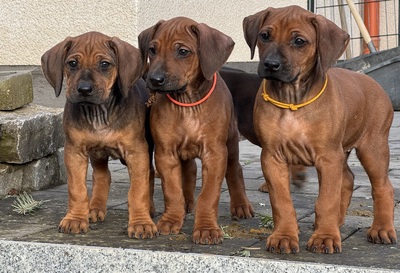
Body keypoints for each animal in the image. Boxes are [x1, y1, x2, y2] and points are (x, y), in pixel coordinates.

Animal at [41, 31, 158, 238]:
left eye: (105, 64)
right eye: (72, 63)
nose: (84, 89)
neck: (98, 113)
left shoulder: (136, 152)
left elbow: (138, 190)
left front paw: (141, 223)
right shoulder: (74, 152)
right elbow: (77, 189)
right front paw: (75, 219)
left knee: (149, 175)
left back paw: (149, 209)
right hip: (98, 153)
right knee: (102, 176)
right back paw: (94, 208)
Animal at [139, 15, 255, 243]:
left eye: (183, 51)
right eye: (152, 50)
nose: (154, 80)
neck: (188, 103)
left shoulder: (215, 154)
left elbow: (209, 195)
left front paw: (207, 228)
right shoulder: (166, 153)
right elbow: (172, 190)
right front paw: (172, 220)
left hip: (230, 142)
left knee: (234, 169)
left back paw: (241, 205)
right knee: (190, 170)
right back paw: (186, 204)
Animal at [242, 5, 396, 253]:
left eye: (299, 41)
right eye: (264, 36)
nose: (271, 65)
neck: (292, 99)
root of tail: (374, 83)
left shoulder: (328, 157)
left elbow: (326, 200)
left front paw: (324, 237)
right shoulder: (273, 157)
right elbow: (281, 201)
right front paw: (284, 236)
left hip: (372, 148)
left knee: (383, 187)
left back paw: (381, 229)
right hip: (343, 151)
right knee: (348, 179)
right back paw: (337, 222)